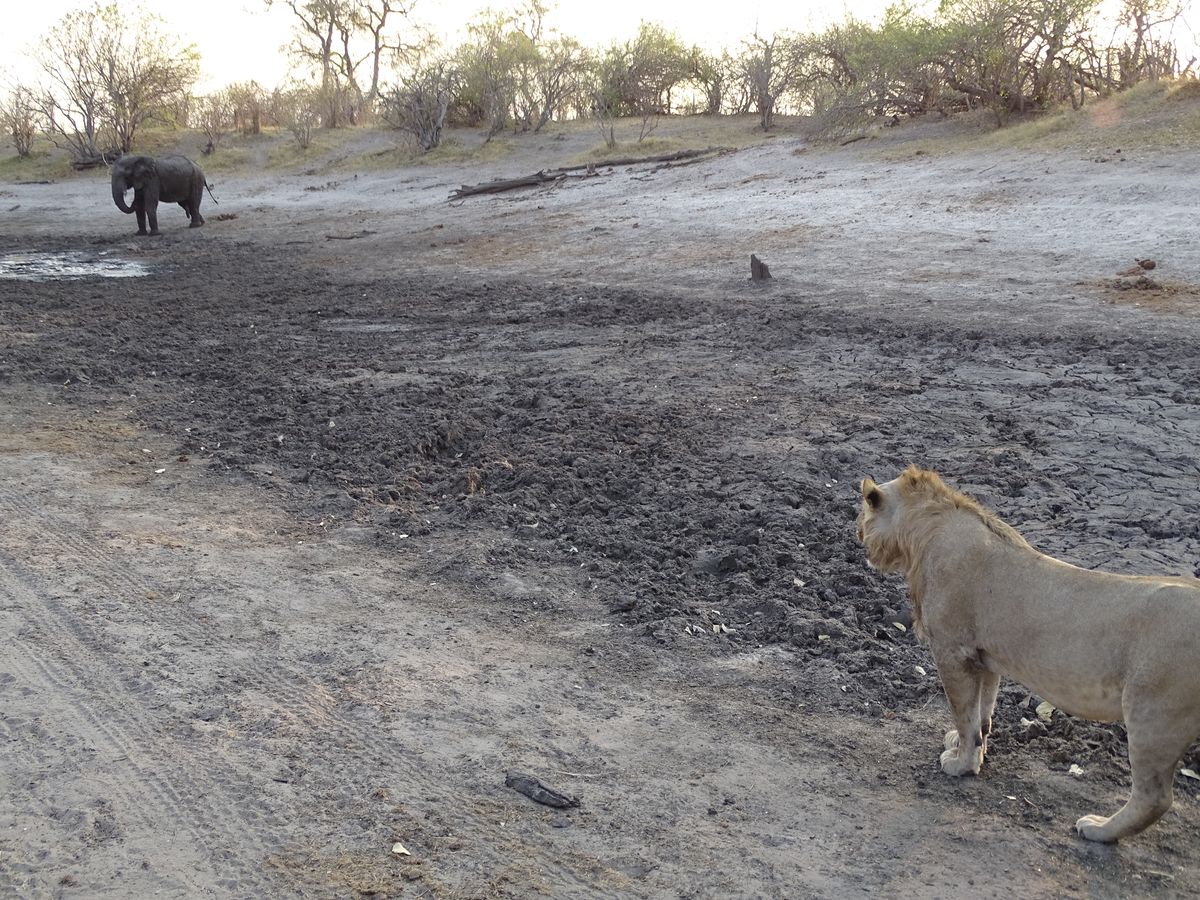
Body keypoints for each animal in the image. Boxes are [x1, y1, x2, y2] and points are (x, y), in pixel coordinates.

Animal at [856, 466, 1200, 842]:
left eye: (863, 511)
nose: (857, 534)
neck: (923, 529)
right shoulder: (984, 657)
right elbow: (982, 714)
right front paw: (969, 750)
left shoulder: (952, 651)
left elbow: (964, 715)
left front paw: (961, 765)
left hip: (1154, 715)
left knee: (1155, 797)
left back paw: (1099, 830)